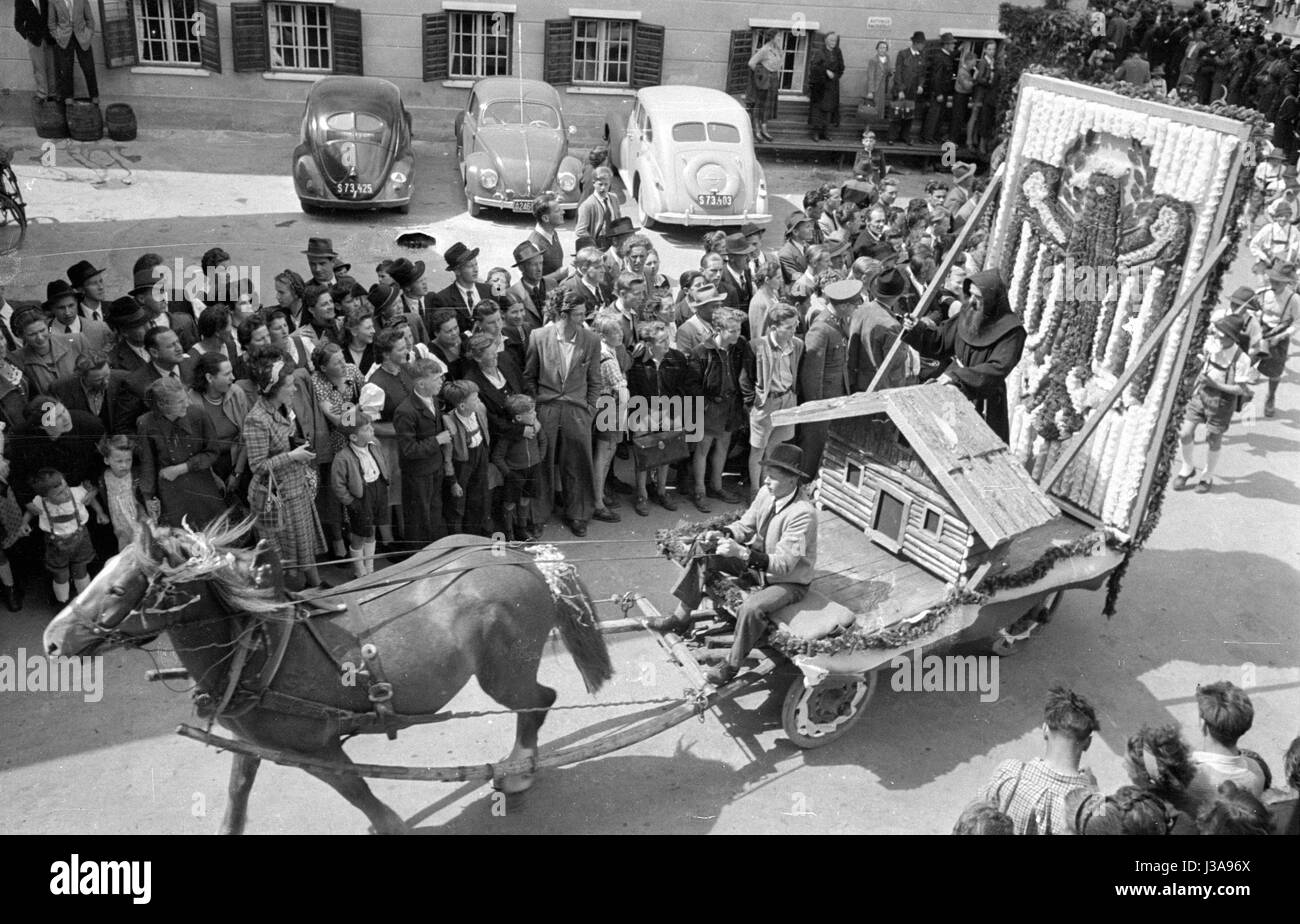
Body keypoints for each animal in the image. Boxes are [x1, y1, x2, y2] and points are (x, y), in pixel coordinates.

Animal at [44, 517, 613, 836]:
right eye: (97, 572)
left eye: (119, 589)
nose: (51, 640)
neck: (258, 647)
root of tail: (524, 556)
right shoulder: (253, 744)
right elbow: (236, 798)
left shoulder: (314, 750)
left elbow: (360, 795)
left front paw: (389, 825)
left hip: (505, 672)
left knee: (539, 699)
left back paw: (519, 770)